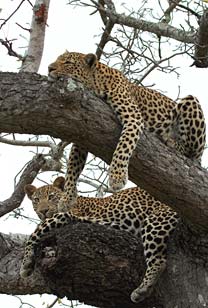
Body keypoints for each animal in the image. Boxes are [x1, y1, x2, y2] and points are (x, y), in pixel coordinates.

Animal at [19, 176, 179, 304]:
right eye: (36, 200)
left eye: (51, 197)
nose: (43, 211)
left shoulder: (64, 215)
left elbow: (34, 233)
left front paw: (25, 265)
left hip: (156, 219)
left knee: (159, 261)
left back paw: (141, 290)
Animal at [47, 50, 206, 207]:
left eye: (67, 62)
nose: (49, 68)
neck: (96, 83)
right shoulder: (83, 132)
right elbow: (73, 165)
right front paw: (67, 197)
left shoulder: (133, 117)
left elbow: (124, 146)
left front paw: (117, 177)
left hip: (191, 102)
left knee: (191, 152)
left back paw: (171, 141)